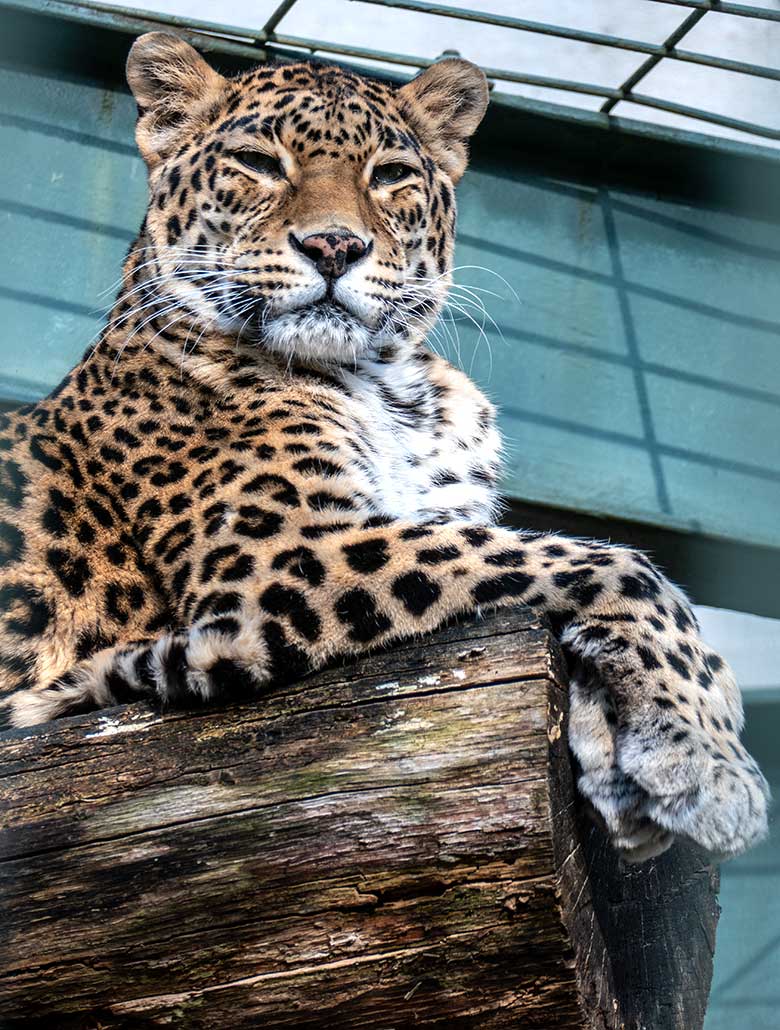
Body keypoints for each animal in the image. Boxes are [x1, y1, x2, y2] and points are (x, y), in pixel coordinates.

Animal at [0, 32, 766, 865]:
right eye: (259, 163)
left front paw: (633, 761)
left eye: (391, 175)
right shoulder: (279, 552)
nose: (334, 245)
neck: (395, 388)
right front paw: (716, 760)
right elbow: (608, 561)